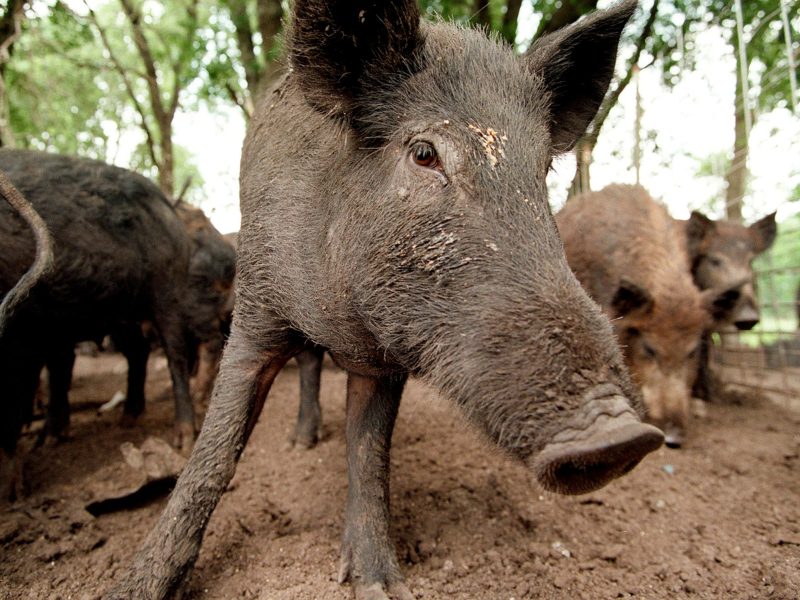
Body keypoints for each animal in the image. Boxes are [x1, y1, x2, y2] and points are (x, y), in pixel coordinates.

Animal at [111, 2, 664, 596]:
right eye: (424, 153)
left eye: (540, 170)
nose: (622, 436)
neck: (341, 316)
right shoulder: (255, 307)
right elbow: (216, 449)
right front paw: (136, 586)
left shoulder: (382, 359)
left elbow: (370, 453)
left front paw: (382, 587)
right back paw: (301, 444)